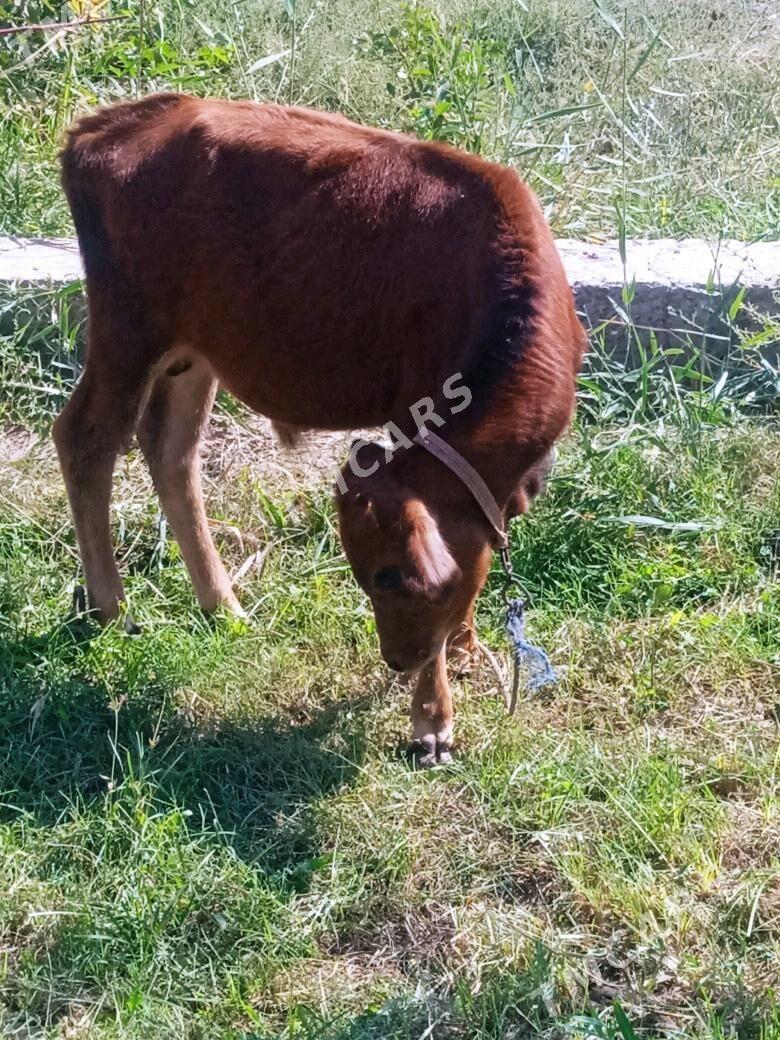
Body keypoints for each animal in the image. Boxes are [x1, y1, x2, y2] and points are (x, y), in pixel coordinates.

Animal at [53, 95, 586, 765]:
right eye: (378, 578)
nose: (397, 660)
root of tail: (109, 124)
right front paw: (432, 721)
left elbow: (477, 549)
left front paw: (463, 646)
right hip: (128, 325)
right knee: (87, 438)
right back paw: (112, 610)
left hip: (195, 346)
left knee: (172, 451)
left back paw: (222, 607)